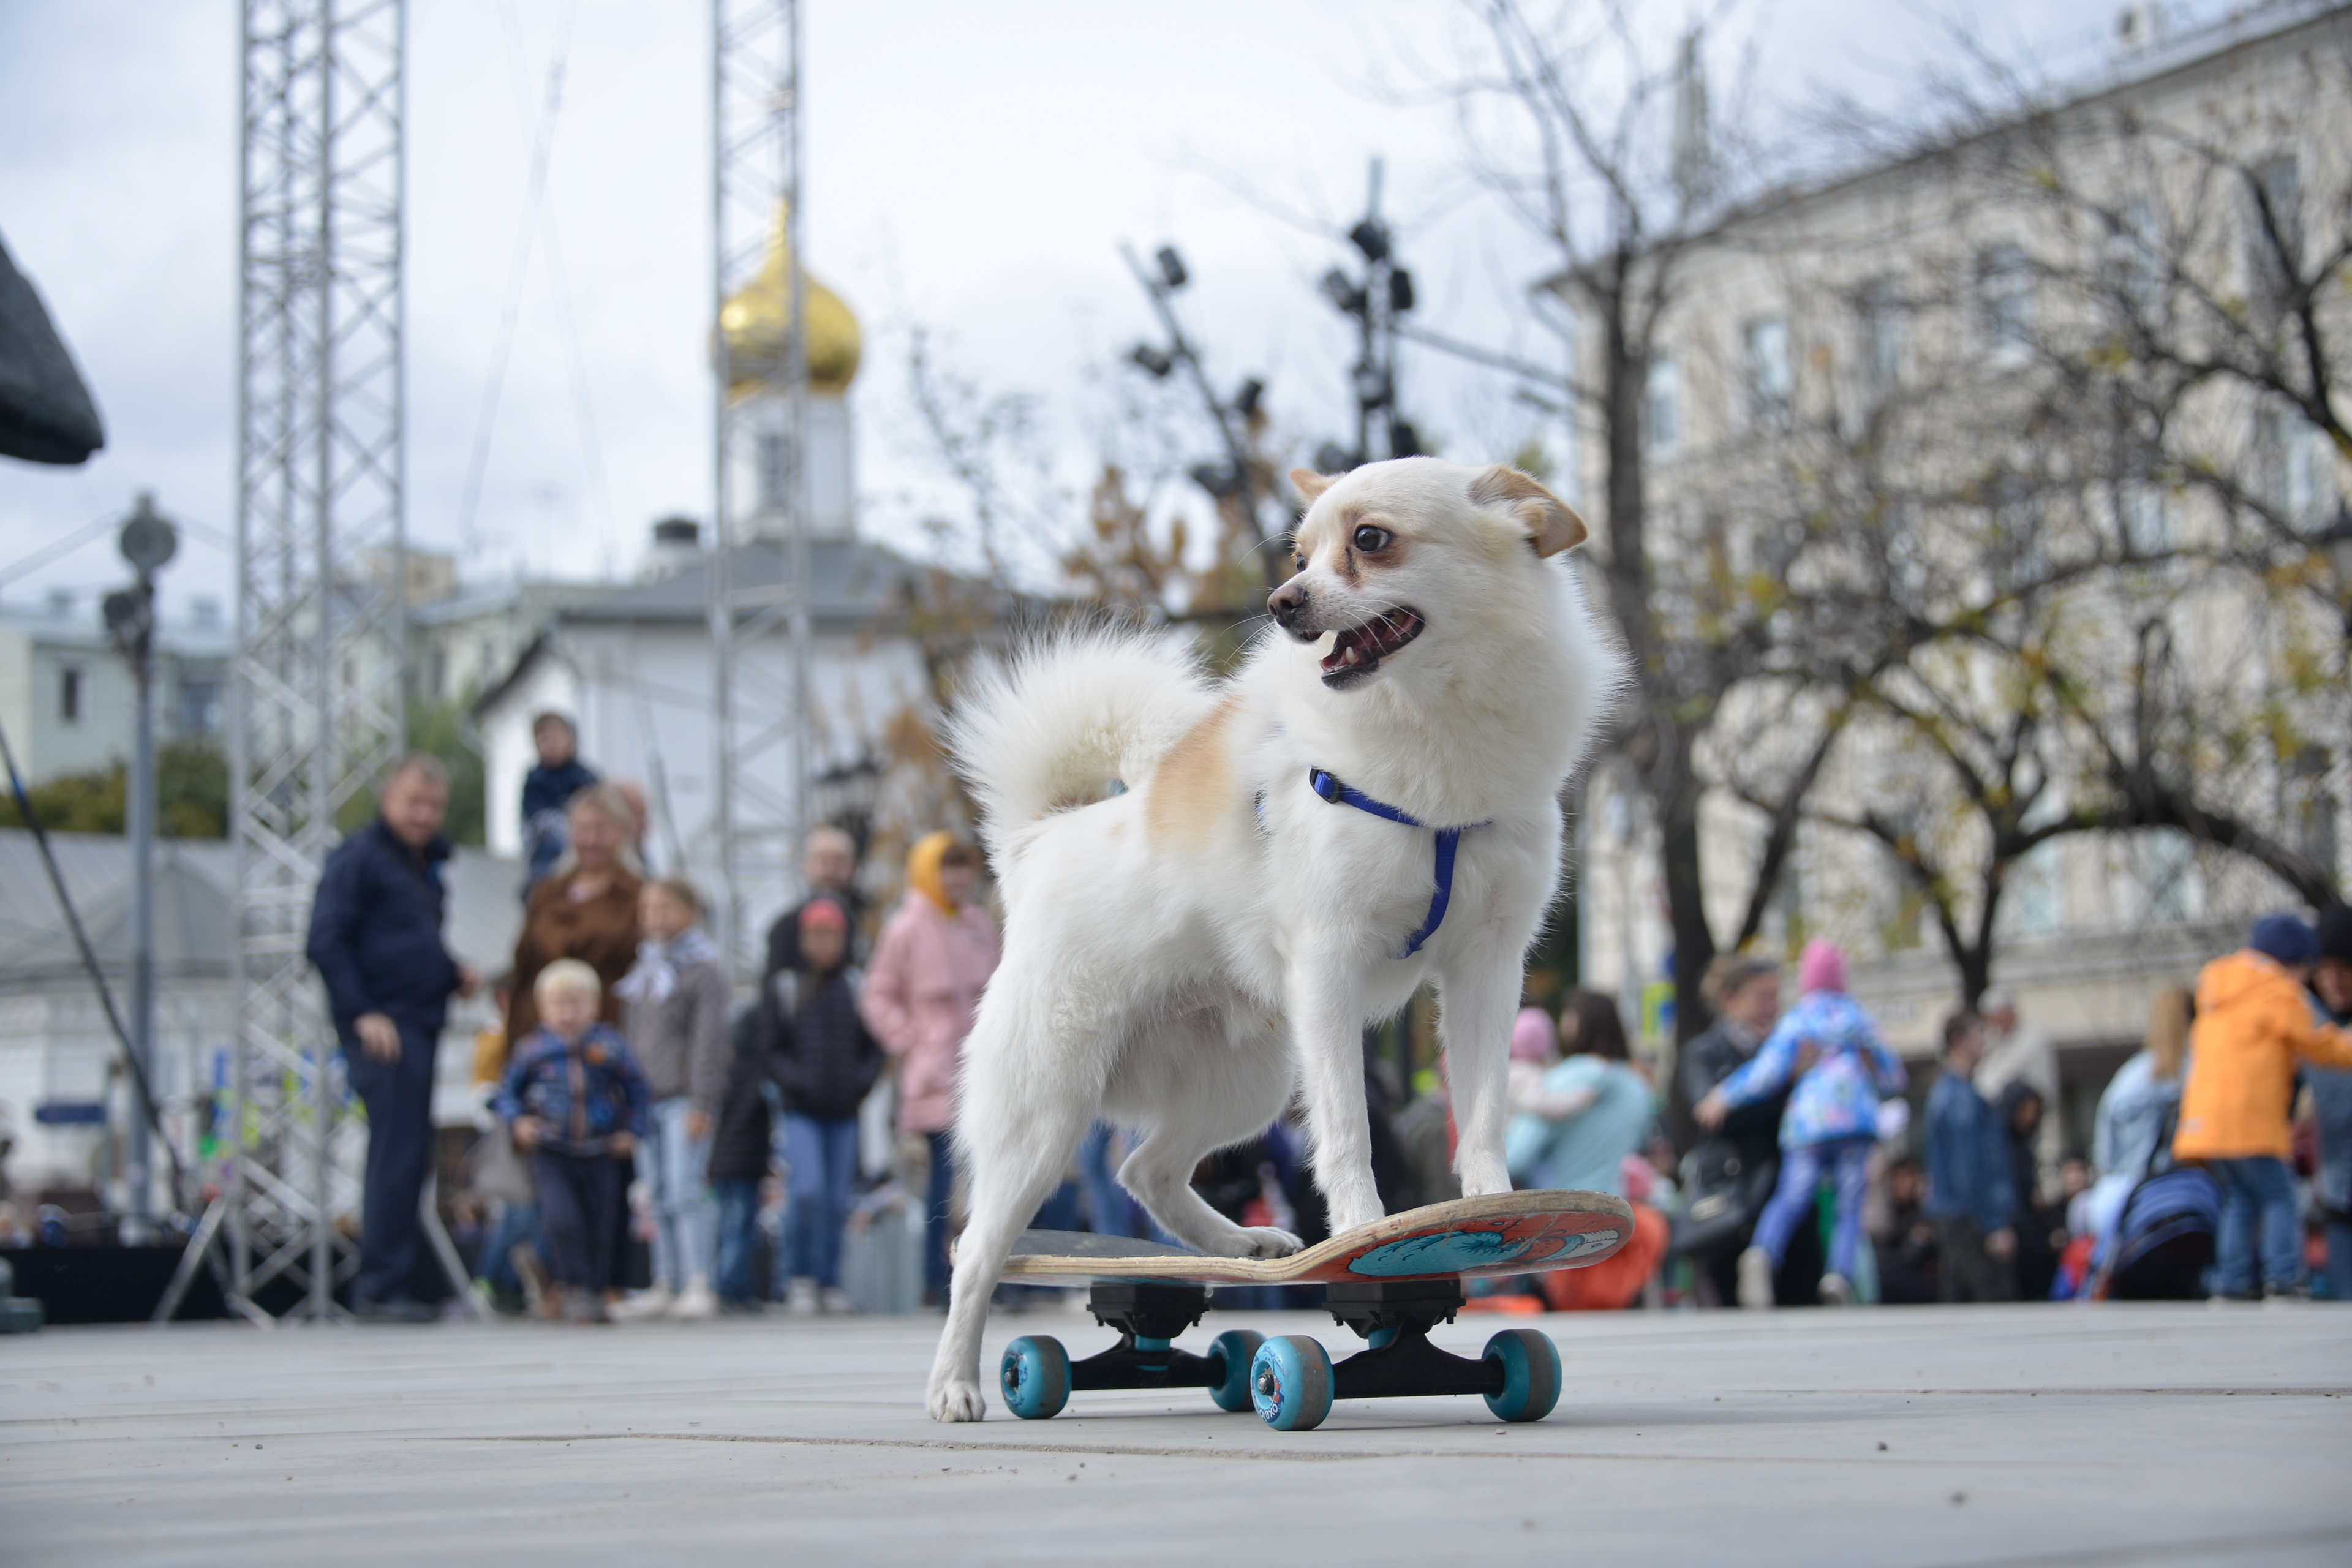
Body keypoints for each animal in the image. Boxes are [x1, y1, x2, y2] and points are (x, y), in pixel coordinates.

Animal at [926, 453, 1627, 1420]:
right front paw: (1368, 1229)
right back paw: (956, 1383)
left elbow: (1484, 1112)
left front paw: (1493, 1209)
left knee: (1146, 1170)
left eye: (1370, 540)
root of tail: (1038, 843)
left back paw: (1242, 1246)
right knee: (979, 1253)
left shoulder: (1489, 970)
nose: (1281, 602)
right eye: (1300, 554)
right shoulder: (1331, 967)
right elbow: (1350, 1131)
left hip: (1244, 1082)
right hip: (1045, 1114)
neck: (1431, 730)